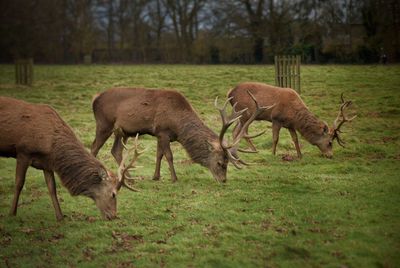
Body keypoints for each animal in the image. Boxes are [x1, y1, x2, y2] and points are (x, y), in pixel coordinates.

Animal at [0, 95, 142, 221]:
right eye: (113, 194)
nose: (113, 216)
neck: (51, 145)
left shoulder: (46, 162)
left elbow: (52, 188)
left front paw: (60, 217)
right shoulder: (23, 151)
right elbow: (19, 183)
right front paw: (12, 213)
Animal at [90, 87, 272, 183]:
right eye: (220, 163)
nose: (223, 180)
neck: (178, 125)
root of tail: (95, 99)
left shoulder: (159, 134)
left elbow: (159, 154)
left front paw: (156, 176)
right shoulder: (163, 131)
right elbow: (169, 156)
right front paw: (174, 178)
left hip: (121, 131)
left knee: (116, 150)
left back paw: (129, 177)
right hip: (104, 124)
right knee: (94, 147)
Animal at [228, 81, 356, 157]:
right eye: (330, 142)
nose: (330, 155)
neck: (294, 115)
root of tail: (229, 93)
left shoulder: (290, 125)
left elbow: (295, 139)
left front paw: (300, 155)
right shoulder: (276, 119)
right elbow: (275, 138)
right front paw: (273, 154)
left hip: (242, 115)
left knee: (235, 130)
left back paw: (235, 150)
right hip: (244, 113)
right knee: (243, 131)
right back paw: (253, 150)